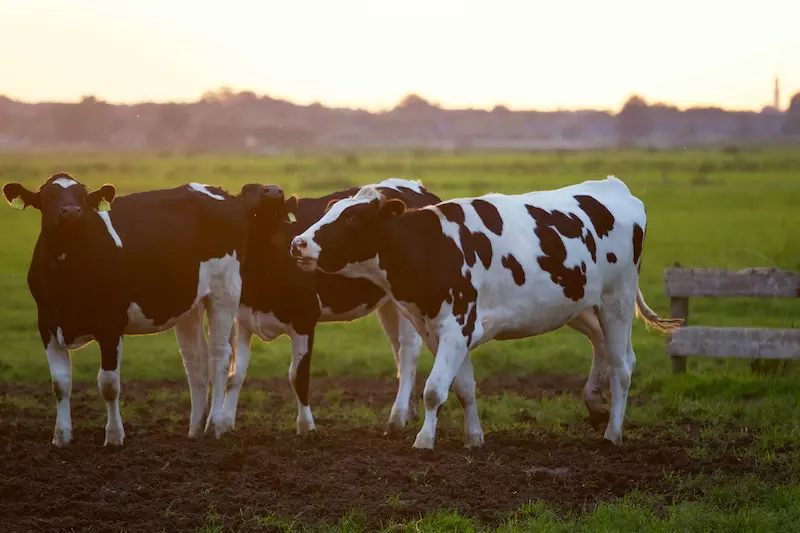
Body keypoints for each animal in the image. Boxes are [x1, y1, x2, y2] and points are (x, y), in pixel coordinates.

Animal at [1, 174, 252, 444]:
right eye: (48, 196)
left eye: (83, 197)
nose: (71, 212)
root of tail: (218, 191)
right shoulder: (46, 324)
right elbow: (60, 383)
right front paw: (61, 436)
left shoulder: (110, 325)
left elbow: (109, 384)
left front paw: (113, 436)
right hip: (189, 304)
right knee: (196, 361)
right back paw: (194, 430)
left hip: (224, 292)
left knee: (220, 357)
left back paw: (213, 426)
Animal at [222, 179, 440, 436]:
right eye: (247, 190)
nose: (274, 191)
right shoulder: (242, 320)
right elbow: (235, 375)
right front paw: (224, 423)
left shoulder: (304, 320)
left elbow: (298, 376)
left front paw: (306, 427)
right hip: (389, 304)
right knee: (397, 350)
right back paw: (408, 411)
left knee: (407, 354)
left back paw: (396, 418)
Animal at [290, 176, 684, 448]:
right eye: (328, 211)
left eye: (353, 220)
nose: (298, 243)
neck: (432, 246)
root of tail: (614, 187)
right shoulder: (440, 330)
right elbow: (463, 387)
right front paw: (474, 438)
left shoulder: (456, 326)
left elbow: (434, 389)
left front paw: (424, 441)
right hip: (580, 305)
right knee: (602, 345)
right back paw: (595, 404)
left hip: (617, 299)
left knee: (623, 366)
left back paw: (612, 433)